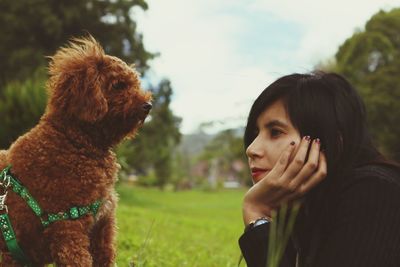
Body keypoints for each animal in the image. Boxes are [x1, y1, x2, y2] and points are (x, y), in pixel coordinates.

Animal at [0, 36, 152, 267]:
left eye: (135, 84)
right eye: (118, 85)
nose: (149, 105)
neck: (75, 142)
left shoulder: (103, 227)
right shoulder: (68, 227)